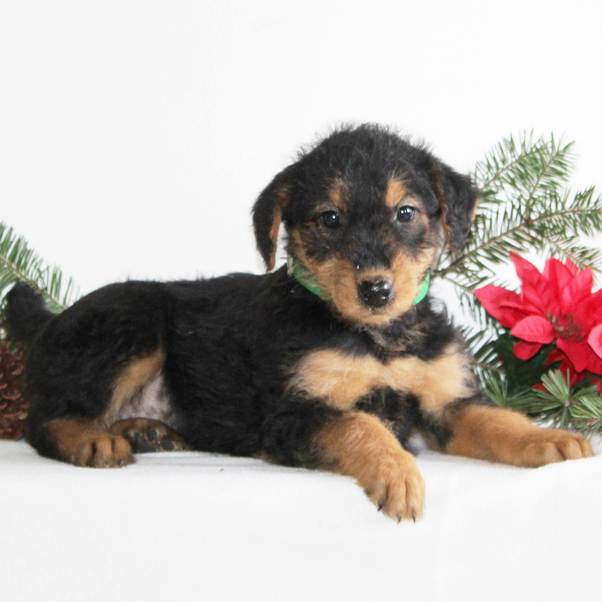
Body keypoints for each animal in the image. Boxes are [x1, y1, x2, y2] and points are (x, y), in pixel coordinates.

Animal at [3, 125, 592, 520]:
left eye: (405, 212)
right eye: (330, 219)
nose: (376, 289)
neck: (377, 337)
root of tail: (49, 324)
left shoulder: (446, 400)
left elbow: (497, 421)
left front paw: (550, 440)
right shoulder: (294, 413)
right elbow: (364, 426)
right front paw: (399, 474)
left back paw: (147, 430)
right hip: (132, 323)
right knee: (46, 418)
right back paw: (95, 442)